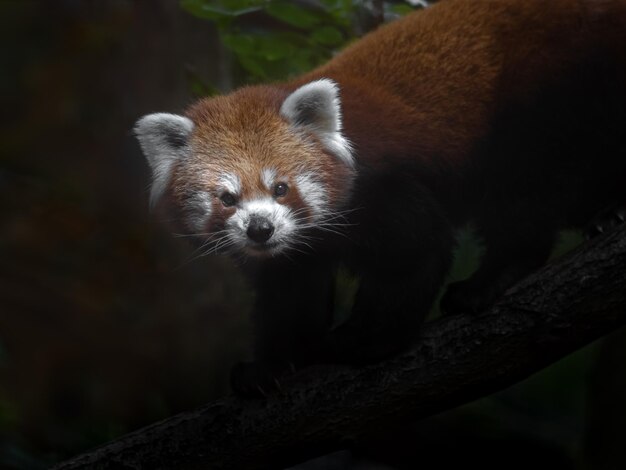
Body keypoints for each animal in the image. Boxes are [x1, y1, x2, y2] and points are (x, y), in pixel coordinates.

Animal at [135, 0, 624, 396]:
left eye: (281, 188)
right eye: (228, 198)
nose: (261, 229)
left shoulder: (385, 190)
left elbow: (416, 255)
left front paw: (361, 341)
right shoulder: (292, 256)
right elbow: (289, 294)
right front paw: (270, 365)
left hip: (548, 87)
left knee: (525, 191)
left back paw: (492, 278)